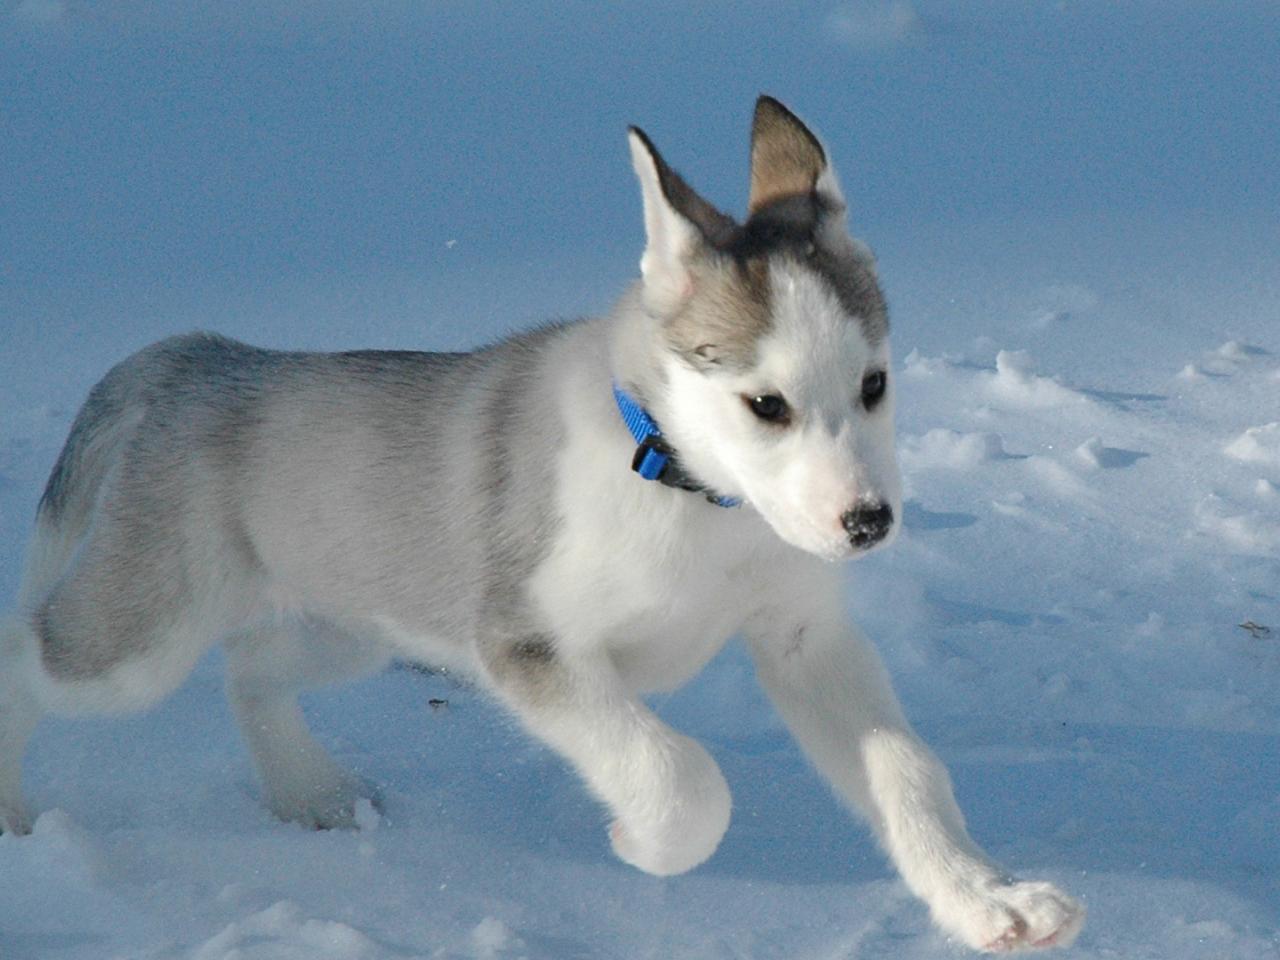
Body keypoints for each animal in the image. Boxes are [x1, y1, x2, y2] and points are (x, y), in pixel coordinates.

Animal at [0, 97, 1085, 957]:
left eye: (874, 385)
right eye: (765, 405)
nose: (867, 523)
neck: (689, 493)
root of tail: (199, 357)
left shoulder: (803, 638)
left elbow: (907, 771)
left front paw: (990, 900)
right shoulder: (526, 645)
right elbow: (678, 774)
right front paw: (639, 844)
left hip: (352, 620)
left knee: (249, 668)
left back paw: (310, 795)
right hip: (140, 638)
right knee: (28, 652)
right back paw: (13, 815)